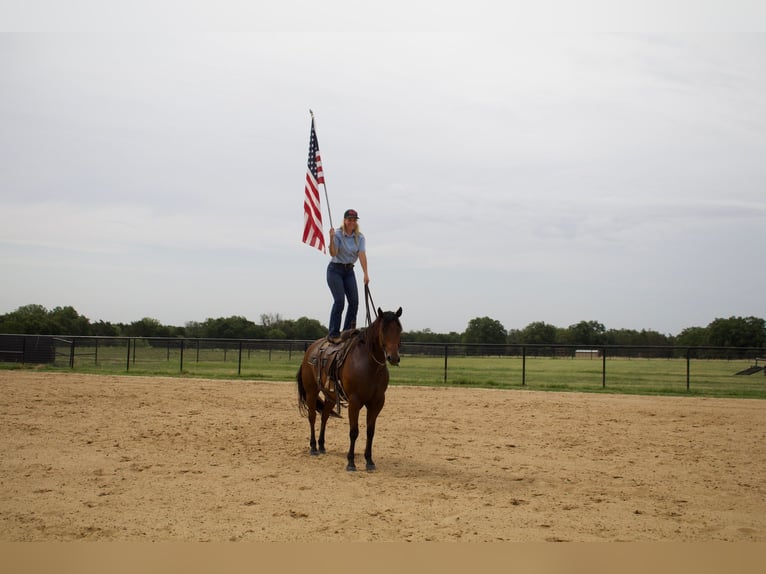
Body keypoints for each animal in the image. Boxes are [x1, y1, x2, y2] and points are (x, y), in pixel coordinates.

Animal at [296, 308, 404, 470]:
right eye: (383, 330)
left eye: (399, 329)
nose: (394, 357)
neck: (369, 364)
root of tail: (310, 350)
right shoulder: (354, 402)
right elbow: (354, 431)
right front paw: (351, 462)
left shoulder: (377, 402)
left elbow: (370, 431)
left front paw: (369, 461)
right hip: (311, 392)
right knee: (312, 417)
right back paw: (313, 447)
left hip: (330, 396)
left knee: (324, 416)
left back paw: (321, 446)